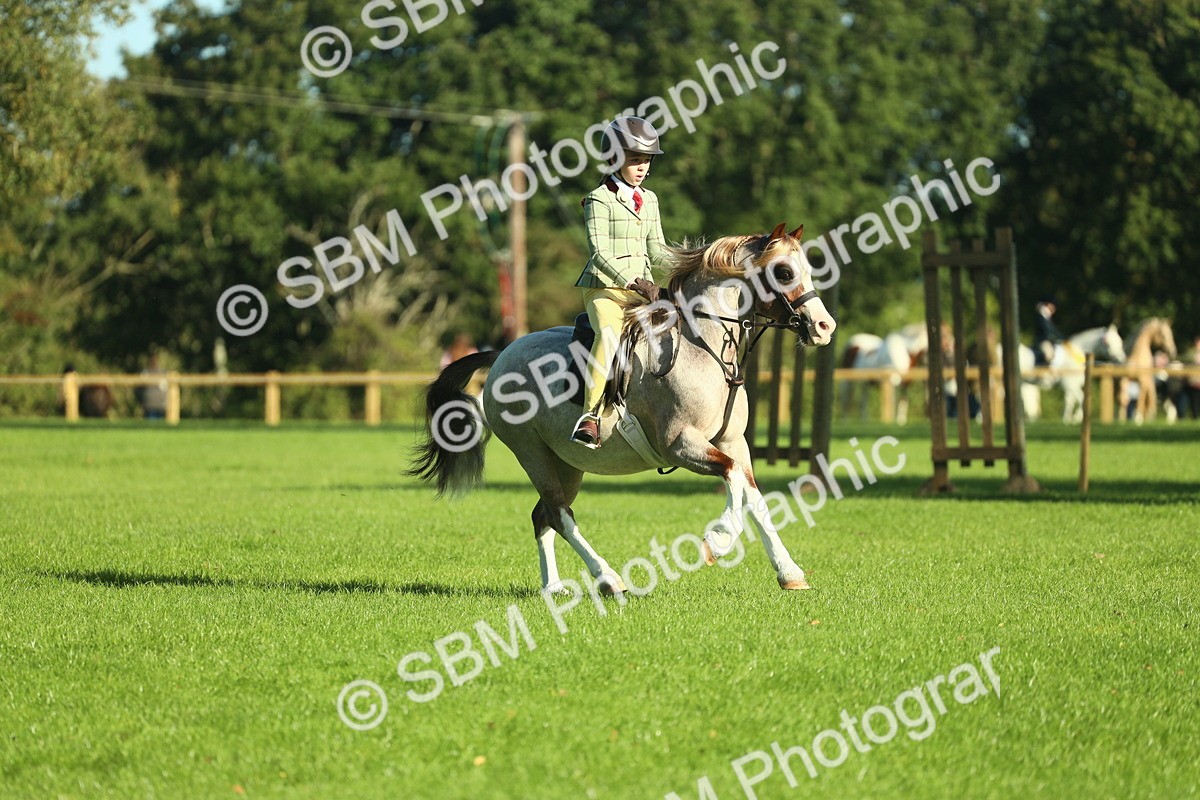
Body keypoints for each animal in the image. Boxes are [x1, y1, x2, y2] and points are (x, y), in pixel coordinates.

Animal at [409, 223, 836, 594]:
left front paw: (789, 573)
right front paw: (718, 540)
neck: (704, 346)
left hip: (567, 464)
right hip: (532, 454)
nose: (824, 327)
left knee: (543, 515)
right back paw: (609, 579)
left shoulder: (733, 442)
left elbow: (754, 498)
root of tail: (501, 354)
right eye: (783, 271)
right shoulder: (680, 445)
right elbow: (731, 478)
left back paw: (553, 588)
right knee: (561, 515)